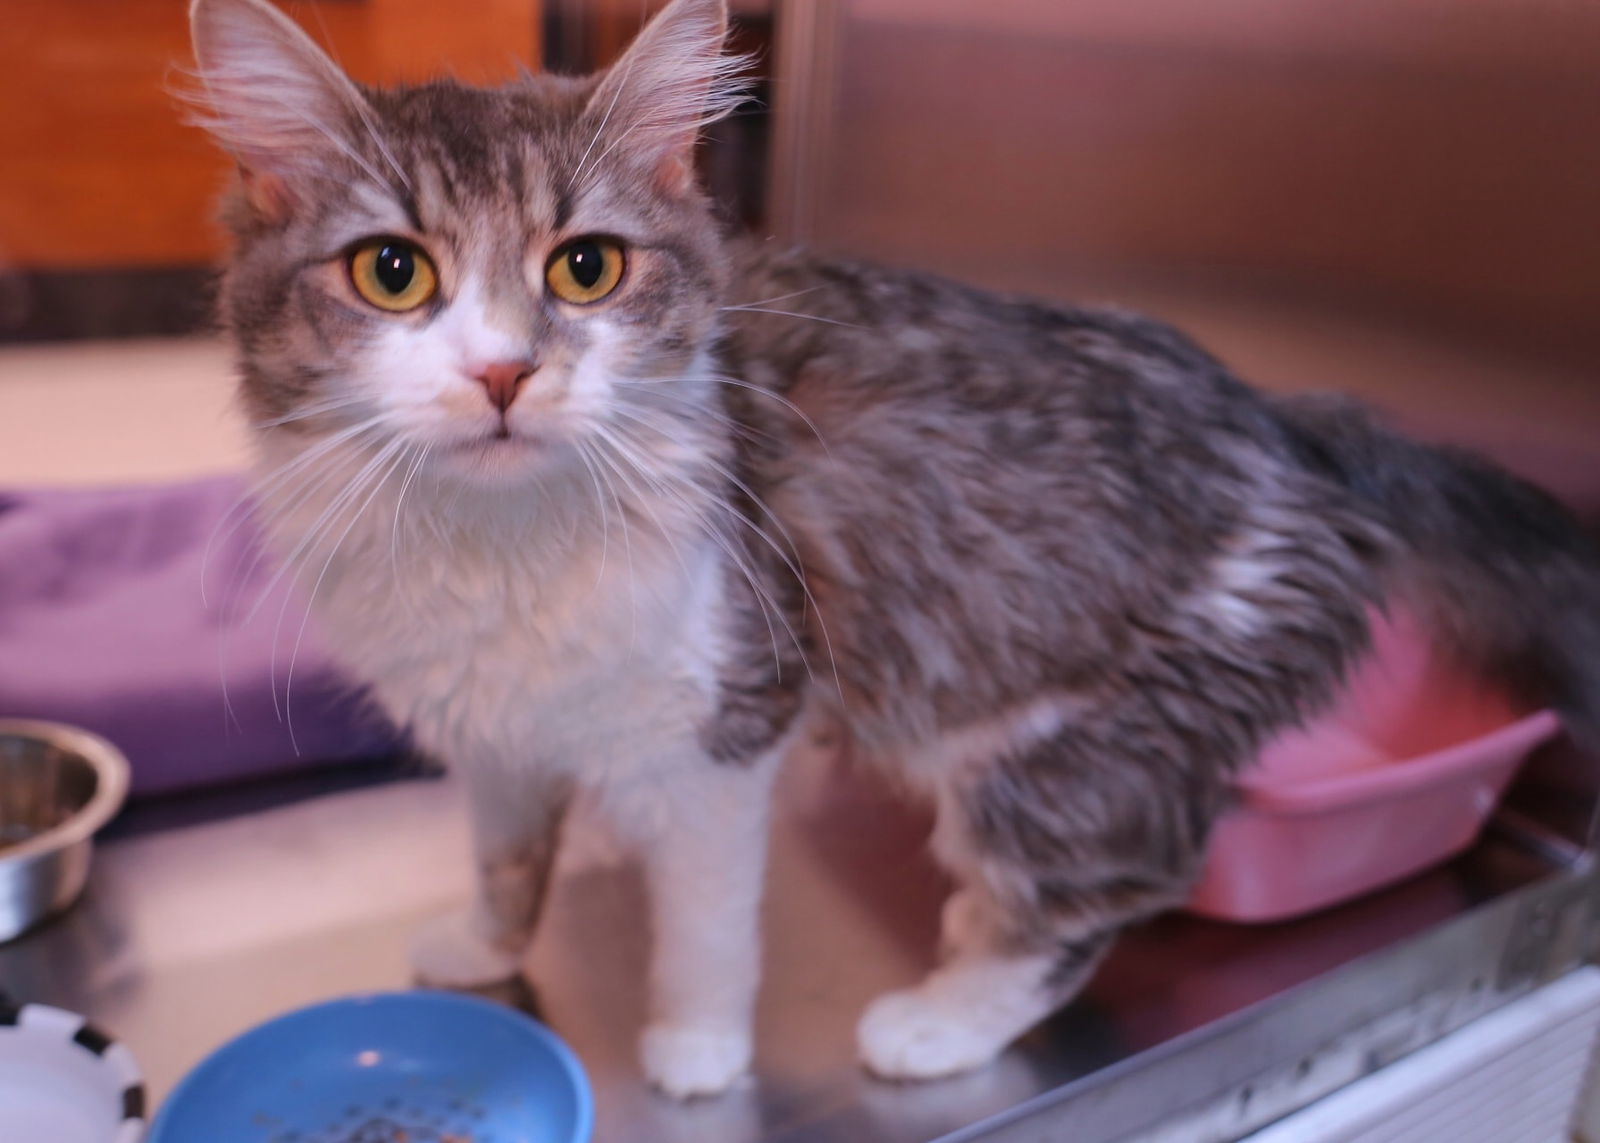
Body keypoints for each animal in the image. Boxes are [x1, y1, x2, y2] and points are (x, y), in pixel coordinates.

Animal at [187, 0, 1600, 1094]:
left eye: (585, 269)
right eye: (393, 274)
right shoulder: (493, 733)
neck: (494, 548)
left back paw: (939, 1019)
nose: (500, 374)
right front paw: (485, 953)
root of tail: (1286, 417)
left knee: (1106, 889)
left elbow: (704, 932)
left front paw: (695, 1054)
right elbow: (506, 864)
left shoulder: (724, 727)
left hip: (1065, 755)